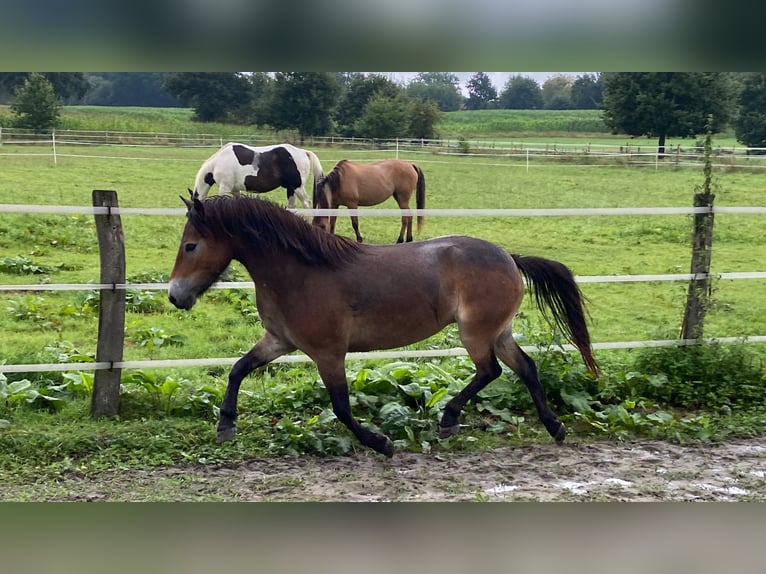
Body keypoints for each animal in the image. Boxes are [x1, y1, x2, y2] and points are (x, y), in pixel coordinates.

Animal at [168, 194, 600, 460]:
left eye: (191, 245)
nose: (175, 296)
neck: (302, 272)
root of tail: (509, 257)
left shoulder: (328, 352)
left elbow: (341, 407)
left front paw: (381, 443)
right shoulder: (278, 341)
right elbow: (238, 369)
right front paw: (225, 426)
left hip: (476, 334)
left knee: (489, 370)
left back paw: (448, 419)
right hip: (500, 332)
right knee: (524, 367)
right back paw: (554, 427)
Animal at [195, 143, 324, 210]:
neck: (217, 162)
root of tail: (304, 152)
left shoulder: (224, 188)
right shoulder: (235, 190)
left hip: (297, 187)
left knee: (306, 204)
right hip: (291, 188)